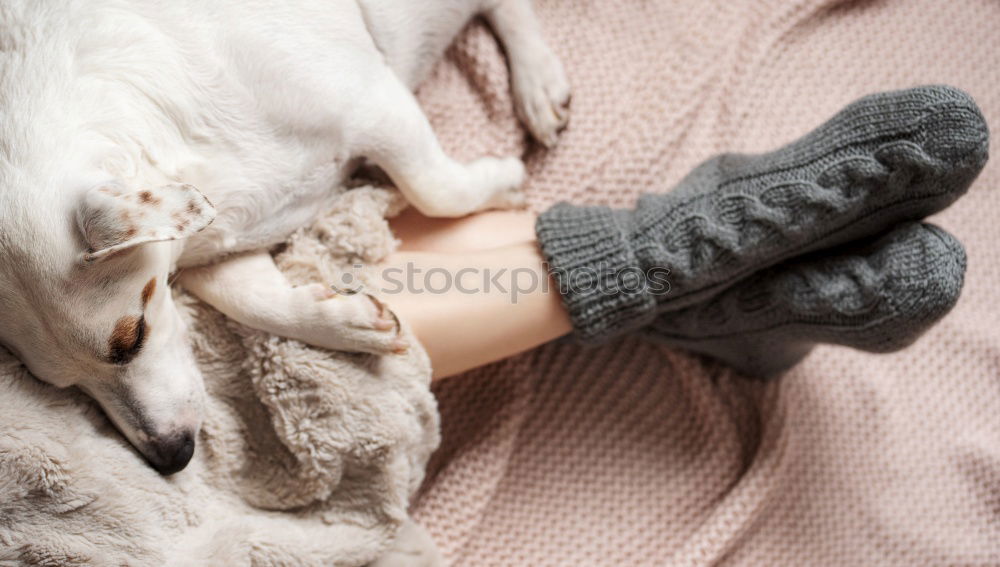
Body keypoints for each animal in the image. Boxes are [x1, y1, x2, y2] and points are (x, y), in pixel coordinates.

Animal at [0, 1, 572, 474]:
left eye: (132, 336)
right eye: (61, 386)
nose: (172, 457)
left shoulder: (378, 108)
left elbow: (435, 191)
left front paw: (504, 181)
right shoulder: (224, 243)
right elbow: (256, 302)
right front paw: (347, 322)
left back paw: (537, 79)